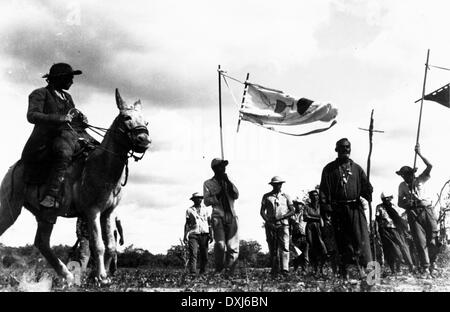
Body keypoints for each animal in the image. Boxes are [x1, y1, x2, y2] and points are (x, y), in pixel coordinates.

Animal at [0, 89, 151, 284]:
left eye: (146, 121)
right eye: (126, 117)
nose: (144, 140)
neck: (102, 166)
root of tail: (15, 167)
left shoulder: (108, 213)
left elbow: (110, 245)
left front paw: (101, 276)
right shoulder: (92, 211)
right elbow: (98, 245)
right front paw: (101, 276)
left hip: (46, 214)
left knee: (42, 242)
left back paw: (68, 276)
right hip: (10, 208)